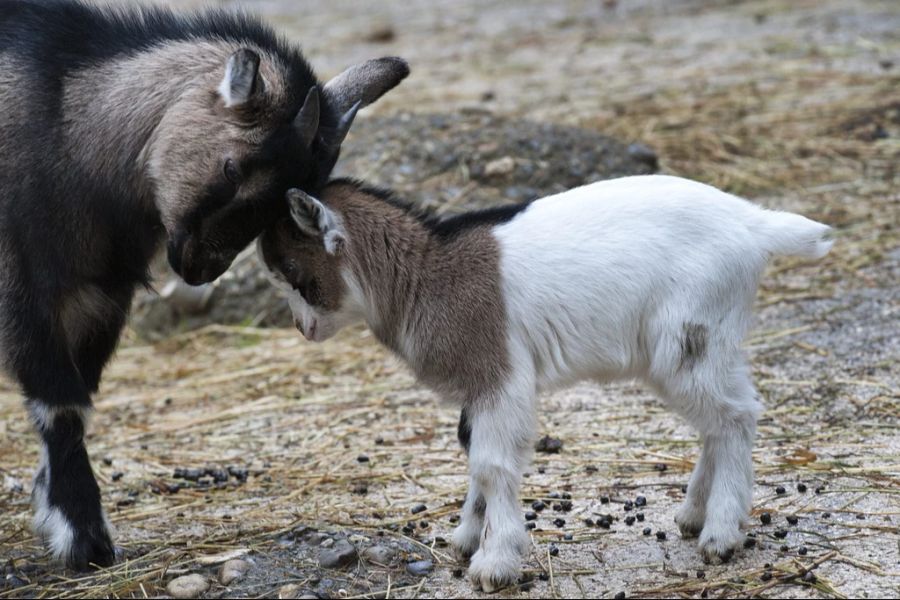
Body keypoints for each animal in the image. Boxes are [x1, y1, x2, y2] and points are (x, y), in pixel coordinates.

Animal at [256, 175, 832, 592]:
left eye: (293, 270)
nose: (303, 329)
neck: (427, 276)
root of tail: (757, 225)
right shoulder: (480, 387)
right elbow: (474, 456)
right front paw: (466, 538)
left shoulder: (500, 374)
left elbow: (492, 464)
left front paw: (494, 563)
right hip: (697, 345)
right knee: (723, 415)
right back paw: (693, 514)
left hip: (691, 336)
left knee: (734, 416)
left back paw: (720, 534)